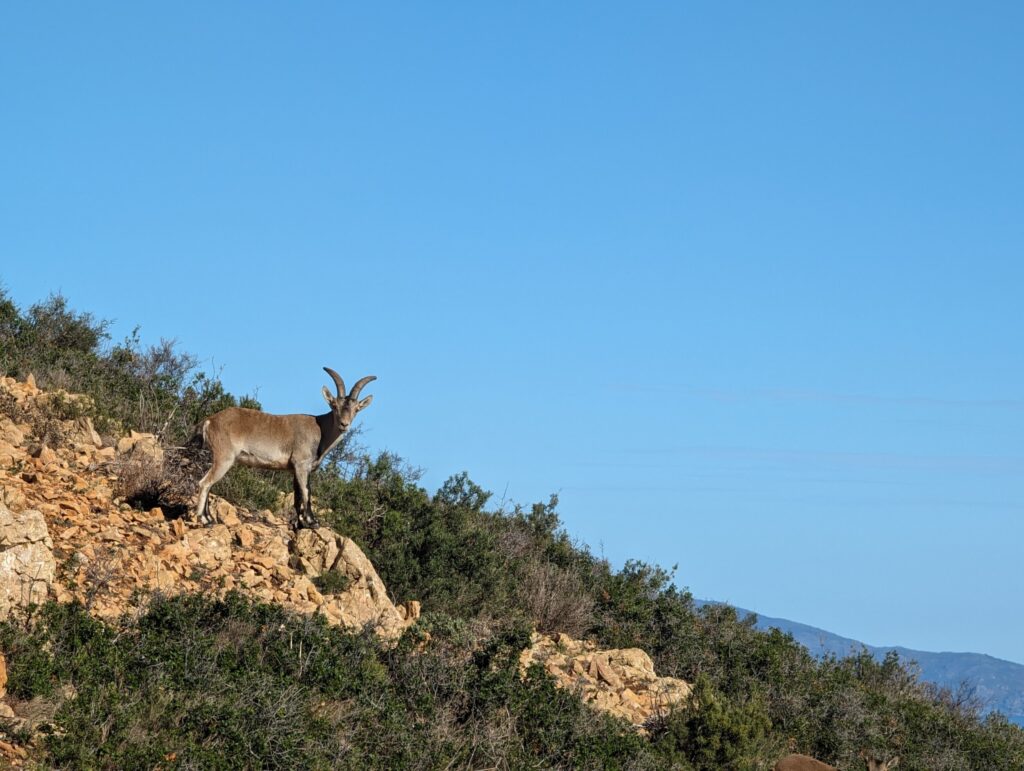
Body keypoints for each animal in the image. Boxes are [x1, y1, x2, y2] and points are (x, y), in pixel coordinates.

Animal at [192, 368, 376, 528]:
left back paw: (209, 518)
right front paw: (313, 522)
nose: (344, 424)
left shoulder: (294, 469)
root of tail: (210, 421)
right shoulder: (301, 464)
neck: (320, 430)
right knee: (205, 483)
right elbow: (306, 492)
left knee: (208, 483)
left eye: (356, 409)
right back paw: (204, 520)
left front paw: (300, 524)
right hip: (225, 457)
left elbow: (297, 497)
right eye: (334, 406)